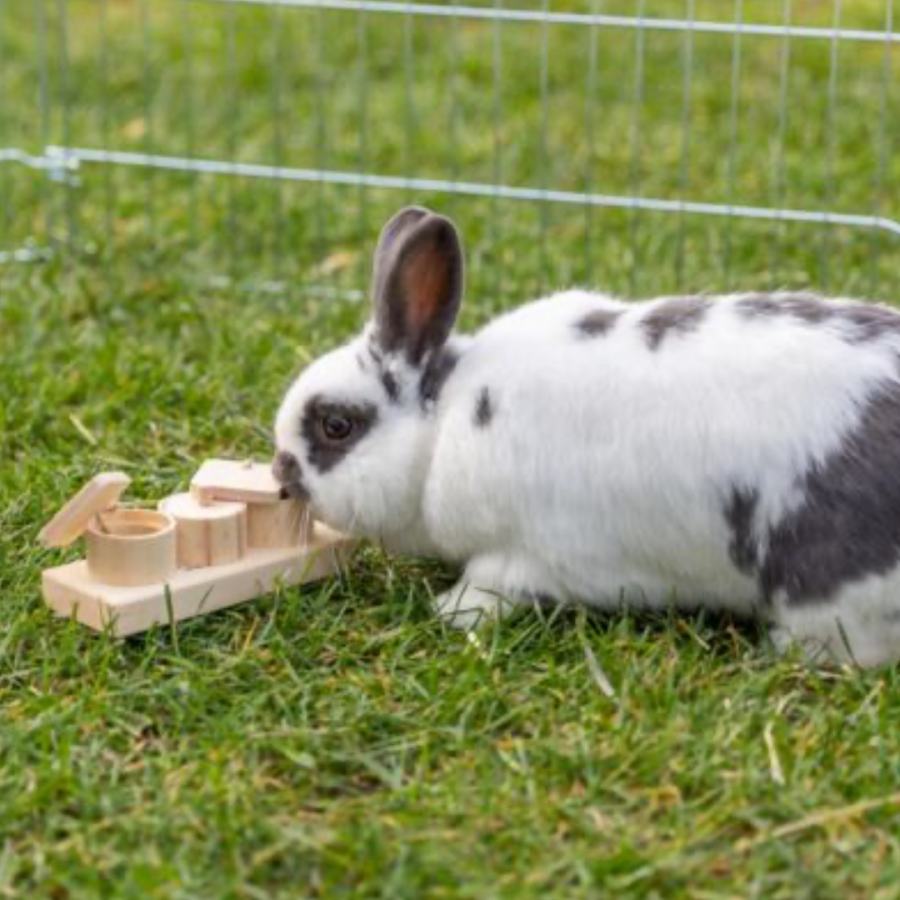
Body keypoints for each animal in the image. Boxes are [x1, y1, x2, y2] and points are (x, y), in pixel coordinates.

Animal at [274, 206, 900, 668]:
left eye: (336, 425)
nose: (281, 472)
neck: (445, 423)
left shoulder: (522, 555)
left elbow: (488, 588)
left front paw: (448, 611)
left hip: (831, 583)